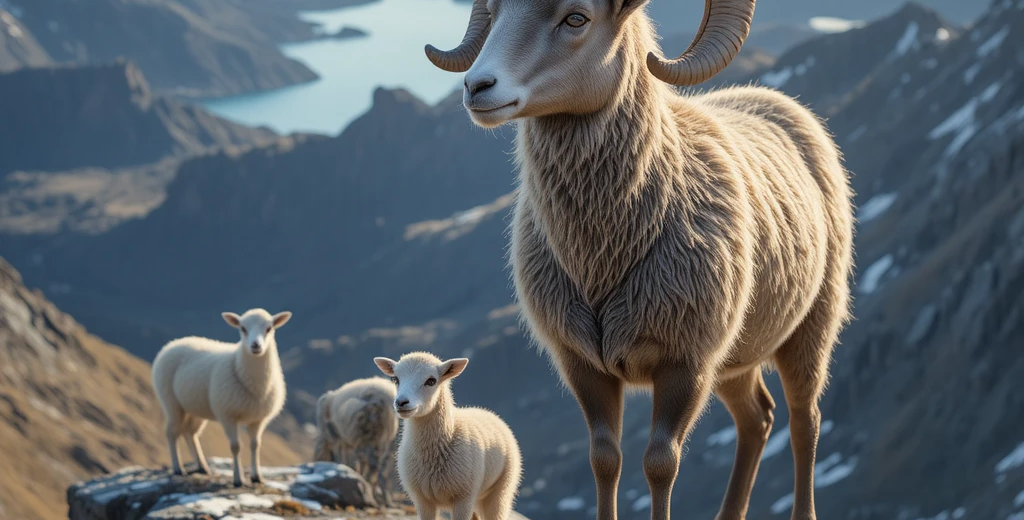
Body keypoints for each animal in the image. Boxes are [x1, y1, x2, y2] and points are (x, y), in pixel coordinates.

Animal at [151, 308, 292, 487]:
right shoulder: (227, 415)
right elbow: (236, 447)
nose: (255, 345)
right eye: (242, 328)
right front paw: (238, 479)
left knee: (190, 433)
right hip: (171, 403)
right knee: (171, 433)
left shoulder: (258, 419)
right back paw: (178, 468)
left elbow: (255, 445)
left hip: (195, 407)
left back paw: (202, 467)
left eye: (269, 328)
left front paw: (256, 477)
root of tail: (173, 343)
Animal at [373, 352, 522, 520]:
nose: (401, 402)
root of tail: (486, 411)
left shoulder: (464, 498)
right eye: (395, 379)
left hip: (501, 489)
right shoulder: (422, 500)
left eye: (431, 381)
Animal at [425, 1, 854, 519]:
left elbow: (660, 463)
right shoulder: (583, 365)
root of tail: (779, 103)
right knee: (758, 418)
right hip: (735, 356)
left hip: (812, 325)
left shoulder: (684, 364)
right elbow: (605, 458)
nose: (476, 86)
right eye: (495, 11)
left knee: (803, 420)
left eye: (576, 18)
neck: (605, 255)